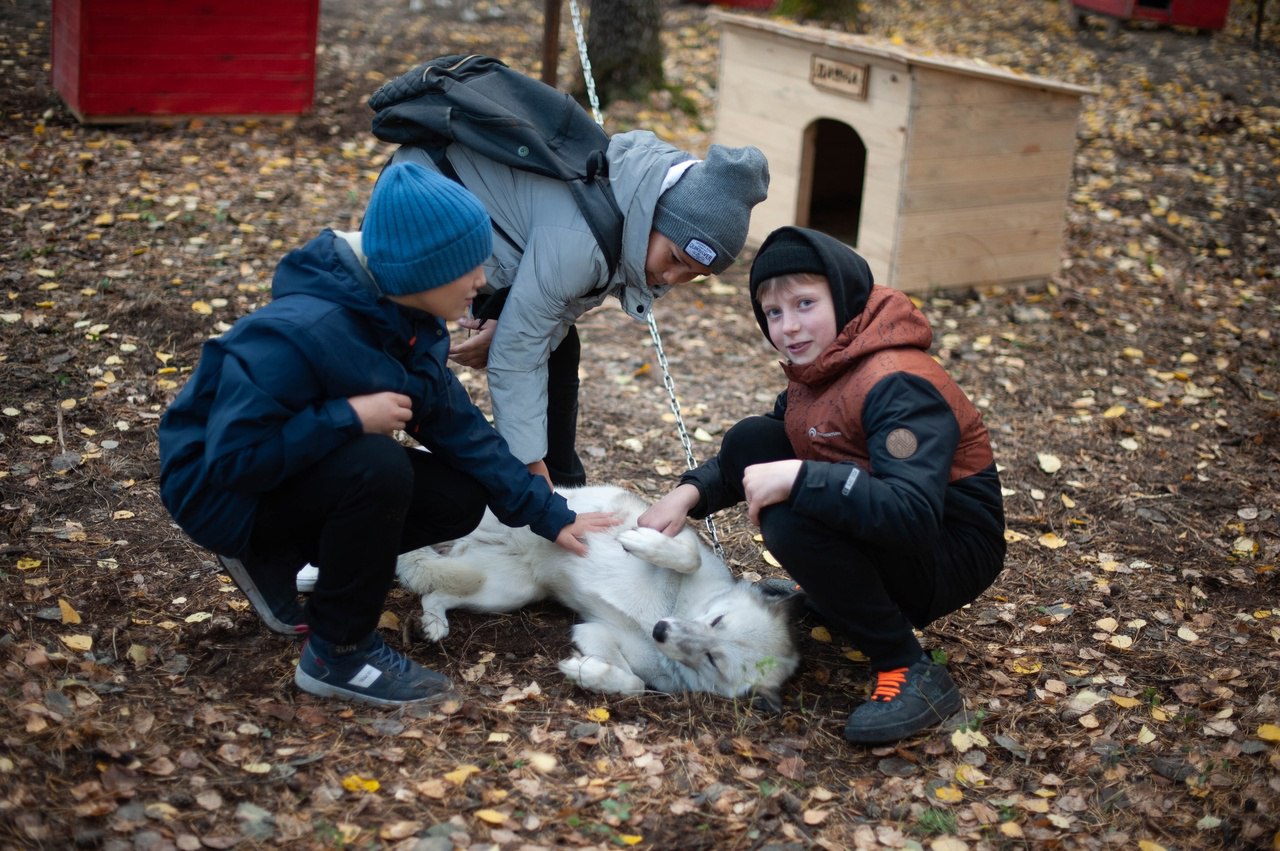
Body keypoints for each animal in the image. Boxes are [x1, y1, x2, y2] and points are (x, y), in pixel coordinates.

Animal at [399, 483, 798, 711]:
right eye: (717, 619)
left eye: (714, 659)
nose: (661, 631)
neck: (673, 607)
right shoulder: (677, 533)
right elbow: (687, 555)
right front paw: (641, 542)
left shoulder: (593, 632)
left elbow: (634, 685)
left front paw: (586, 672)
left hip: (504, 592)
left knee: (435, 593)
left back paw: (433, 625)